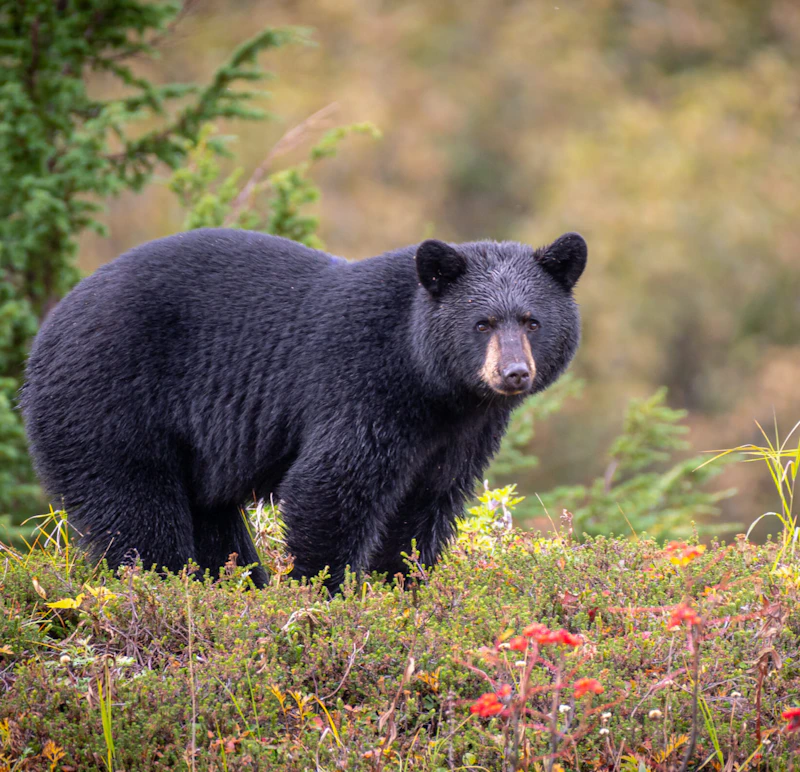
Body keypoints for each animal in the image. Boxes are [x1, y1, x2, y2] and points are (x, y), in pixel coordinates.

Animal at [21, 228, 587, 590]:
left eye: (532, 321)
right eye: (482, 323)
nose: (513, 373)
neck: (432, 383)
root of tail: (45, 335)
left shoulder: (463, 431)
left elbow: (426, 503)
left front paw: (399, 584)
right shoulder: (362, 386)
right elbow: (331, 485)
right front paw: (321, 590)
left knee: (209, 518)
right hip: (108, 401)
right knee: (135, 509)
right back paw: (168, 586)